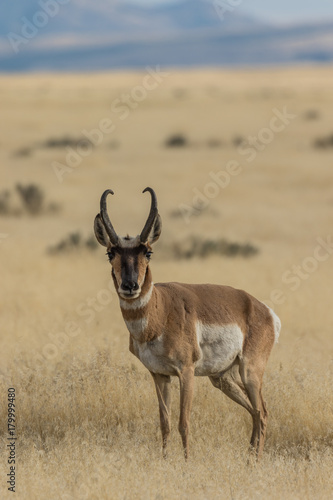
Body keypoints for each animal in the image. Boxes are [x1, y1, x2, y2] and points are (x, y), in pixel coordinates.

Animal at [93, 188, 280, 460]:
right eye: (111, 253)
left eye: (148, 251)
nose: (130, 286)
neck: (160, 312)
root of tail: (262, 309)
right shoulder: (160, 375)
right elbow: (165, 422)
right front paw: (164, 459)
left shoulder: (186, 372)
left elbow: (184, 422)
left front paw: (186, 461)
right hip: (222, 378)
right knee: (254, 412)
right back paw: (248, 459)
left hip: (250, 372)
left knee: (262, 412)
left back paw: (255, 461)